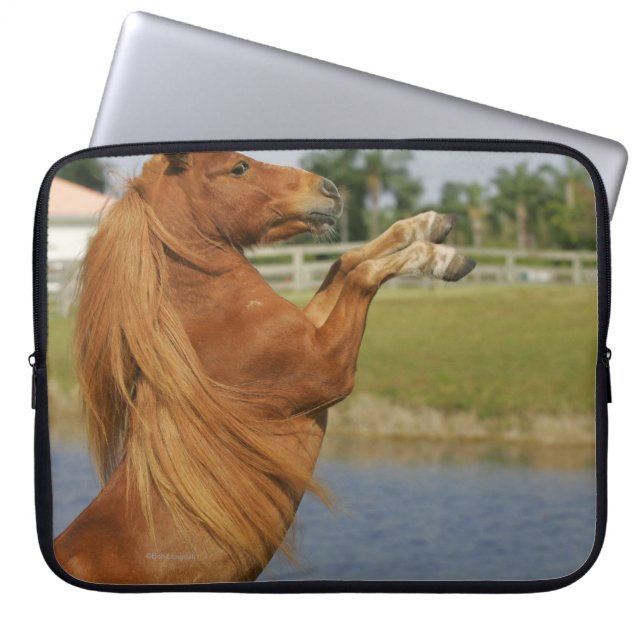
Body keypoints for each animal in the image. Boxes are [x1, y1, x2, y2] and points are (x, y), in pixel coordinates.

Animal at [53, 151, 475, 584]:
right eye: (239, 167)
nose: (330, 189)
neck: (215, 318)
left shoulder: (311, 329)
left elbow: (344, 261)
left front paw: (430, 224)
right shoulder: (330, 369)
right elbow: (361, 274)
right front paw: (443, 258)